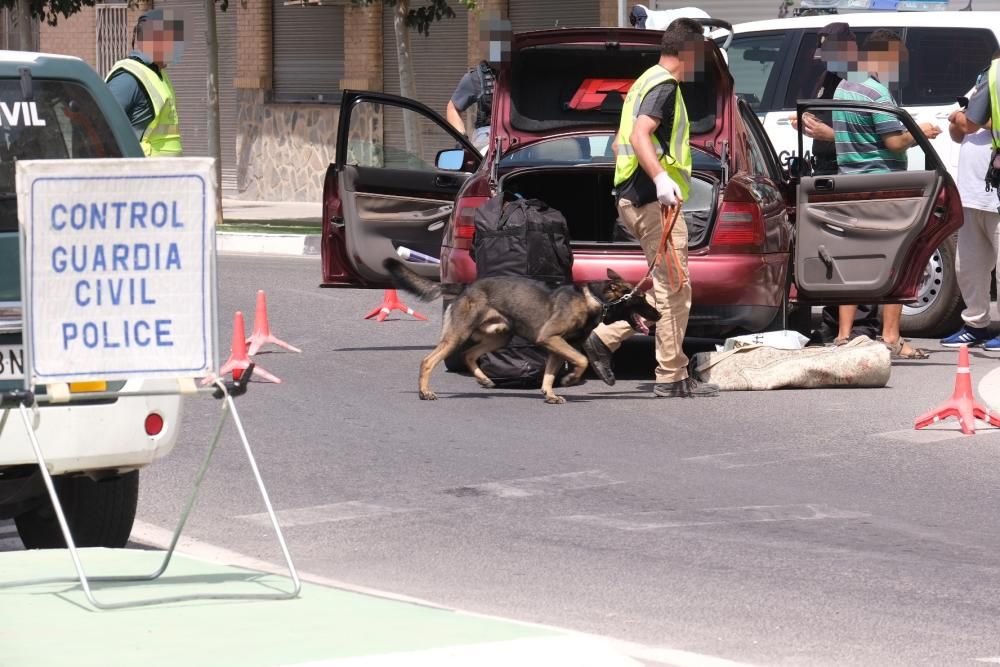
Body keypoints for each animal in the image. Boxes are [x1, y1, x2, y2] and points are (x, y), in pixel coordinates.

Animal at [380, 260, 656, 408]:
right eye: (641, 299)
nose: (659, 315)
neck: (594, 300)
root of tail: (466, 287)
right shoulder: (551, 338)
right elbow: (581, 360)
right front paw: (569, 380)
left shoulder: (555, 346)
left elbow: (549, 374)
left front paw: (550, 394)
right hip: (458, 336)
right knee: (428, 361)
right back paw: (424, 392)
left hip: (499, 335)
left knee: (470, 355)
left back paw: (484, 379)